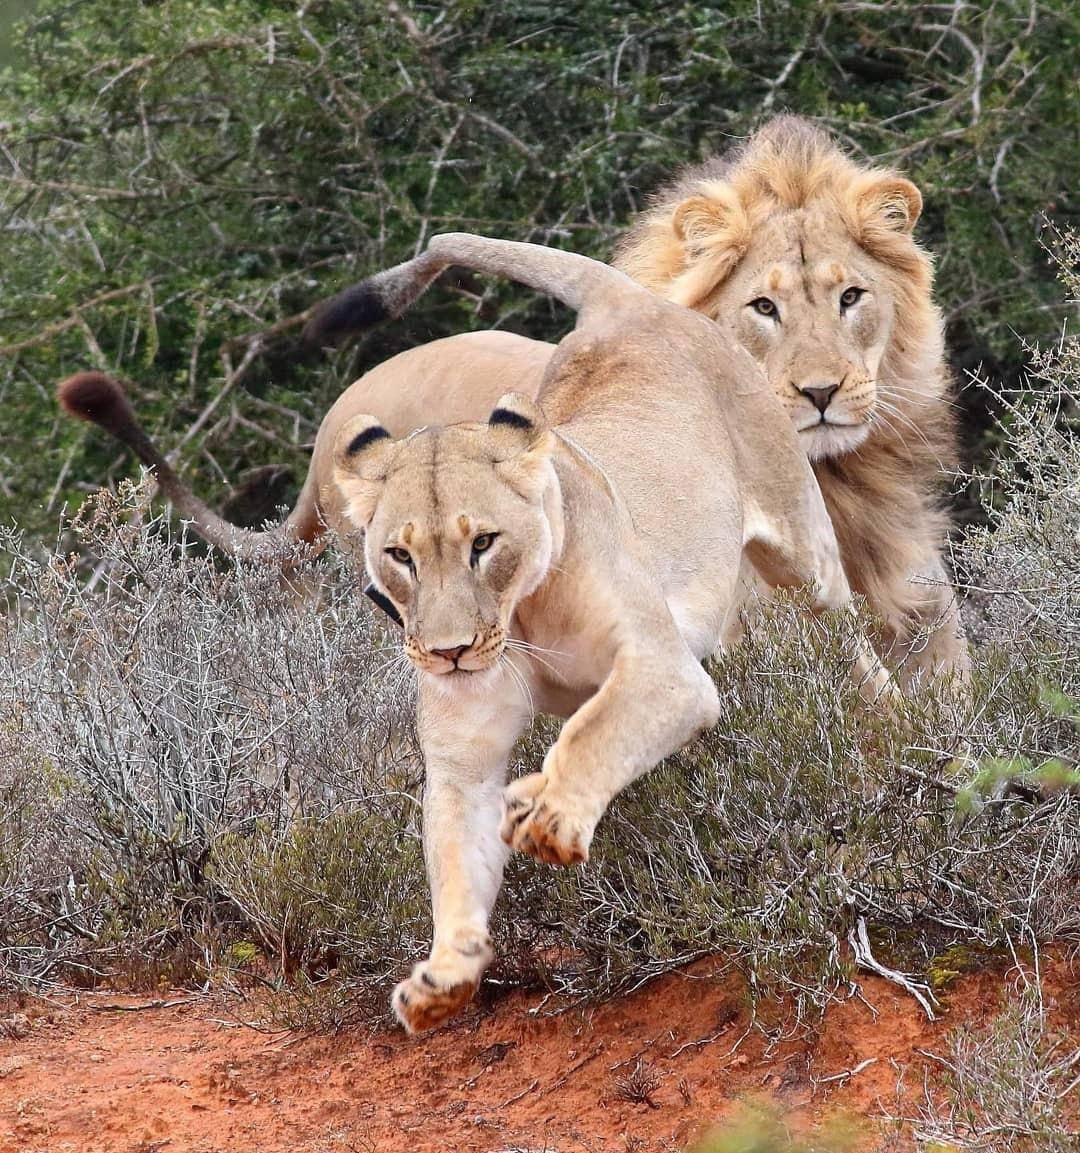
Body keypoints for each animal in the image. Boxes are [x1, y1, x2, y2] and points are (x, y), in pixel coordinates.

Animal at [59, 236, 889, 1037]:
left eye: (483, 543)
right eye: (398, 557)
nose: (449, 651)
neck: (518, 619)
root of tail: (626, 301)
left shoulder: (668, 672)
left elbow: (592, 732)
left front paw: (549, 816)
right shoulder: (464, 756)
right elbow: (457, 854)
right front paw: (444, 976)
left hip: (803, 551)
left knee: (853, 646)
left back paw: (889, 735)